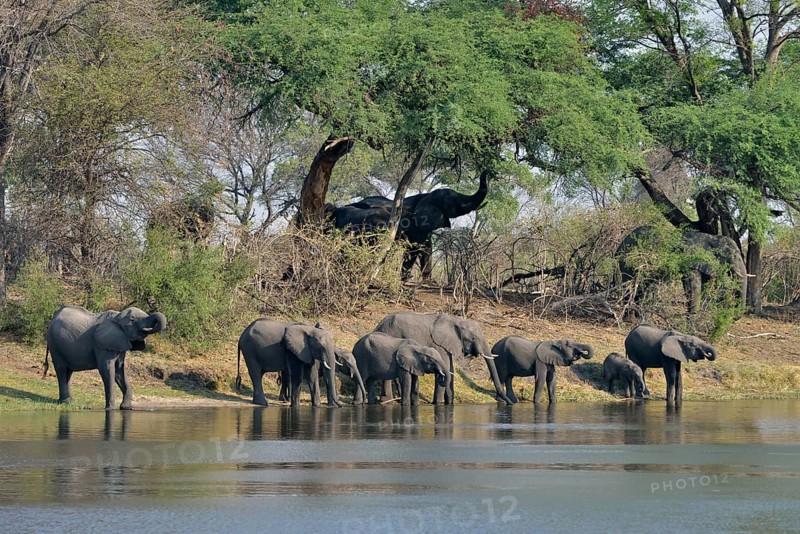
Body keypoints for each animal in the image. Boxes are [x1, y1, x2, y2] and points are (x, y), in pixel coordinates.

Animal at [236, 318, 366, 407]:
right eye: (320, 347)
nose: (344, 405)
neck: (310, 330)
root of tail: (241, 335)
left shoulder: (307, 351)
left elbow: (313, 376)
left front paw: (317, 406)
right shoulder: (292, 350)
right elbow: (298, 374)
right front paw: (295, 406)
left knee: (262, 374)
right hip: (250, 350)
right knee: (256, 373)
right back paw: (264, 403)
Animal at [328, 171, 489, 279]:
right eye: (454, 202)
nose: (486, 171)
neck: (425, 197)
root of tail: (338, 209)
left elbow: (426, 249)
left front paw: (427, 282)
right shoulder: (417, 226)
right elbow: (413, 250)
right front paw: (405, 280)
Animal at [373, 312, 511, 405]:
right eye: (473, 338)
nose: (509, 403)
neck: (457, 321)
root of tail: (377, 326)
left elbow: (450, 369)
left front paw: (449, 402)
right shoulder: (438, 345)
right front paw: (438, 403)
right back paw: (387, 400)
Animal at [617, 226, 747, 315]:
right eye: (732, 255)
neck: (712, 237)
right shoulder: (691, 258)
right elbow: (693, 286)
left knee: (642, 286)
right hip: (627, 259)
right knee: (630, 284)